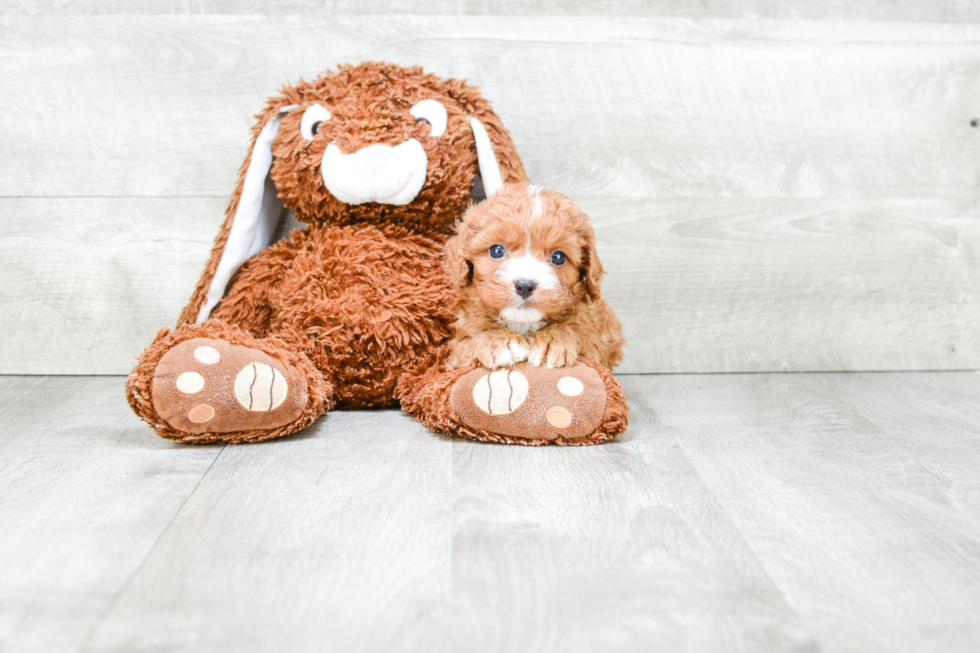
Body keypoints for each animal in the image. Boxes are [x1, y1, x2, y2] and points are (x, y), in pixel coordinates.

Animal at [446, 182, 624, 372]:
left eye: (558, 257)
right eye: (496, 251)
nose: (524, 286)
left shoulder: (595, 341)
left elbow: (579, 333)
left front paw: (554, 340)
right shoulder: (456, 353)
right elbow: (470, 339)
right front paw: (499, 340)